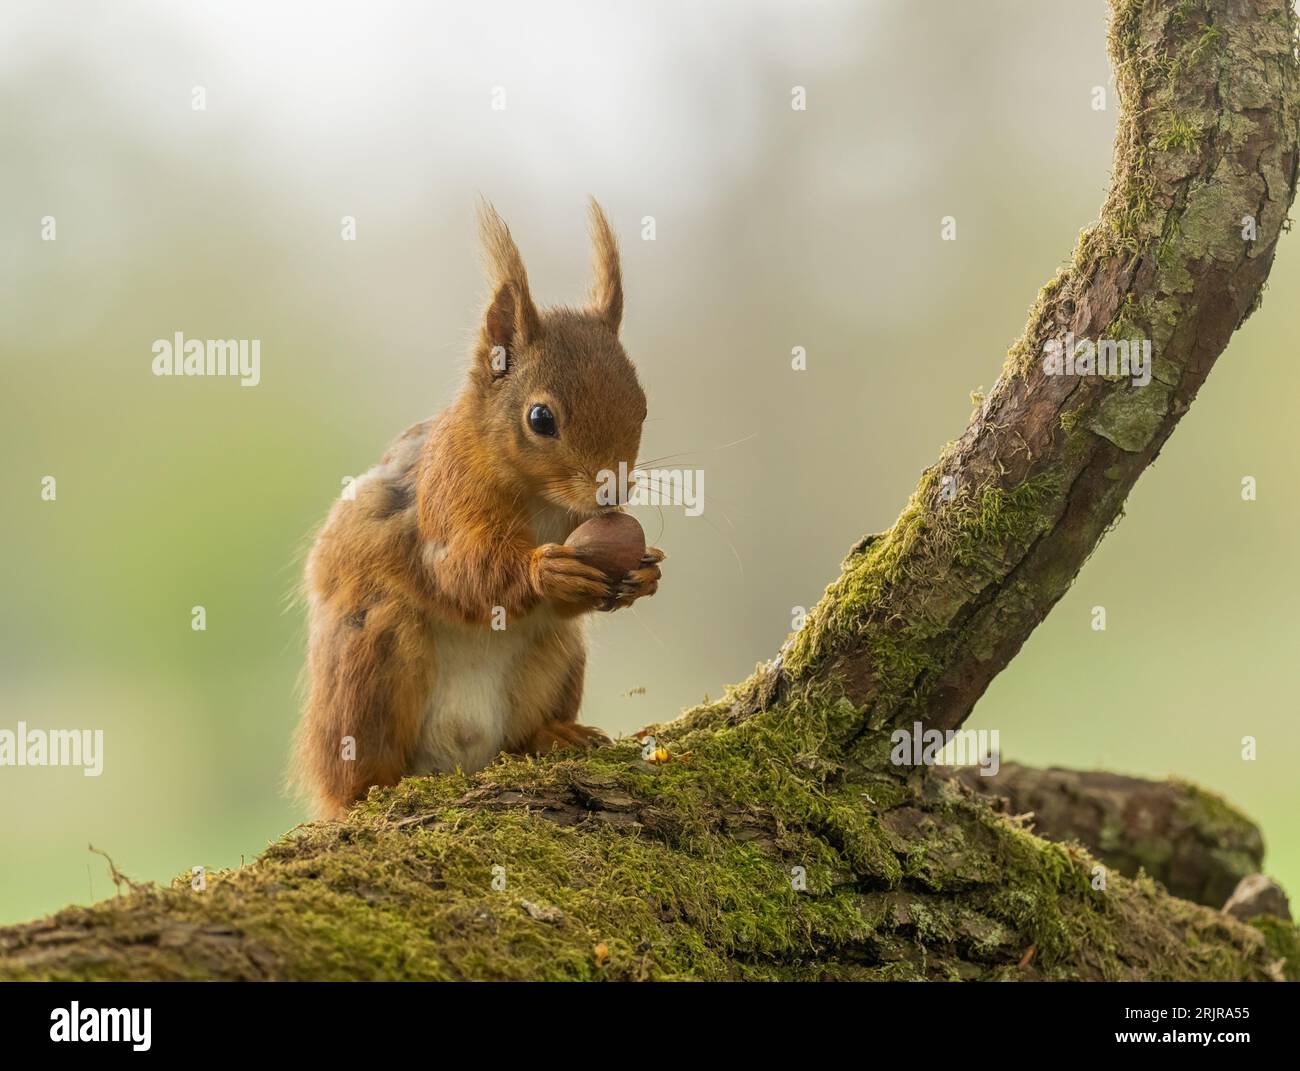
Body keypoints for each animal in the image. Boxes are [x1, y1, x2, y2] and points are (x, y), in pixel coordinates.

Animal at [291, 202, 665, 821]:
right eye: (541, 418)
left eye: (643, 405)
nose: (611, 494)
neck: (543, 499)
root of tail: (459, 753)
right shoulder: (446, 495)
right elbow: (458, 569)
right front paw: (545, 571)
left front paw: (647, 572)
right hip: (372, 661)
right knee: (359, 774)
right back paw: (375, 789)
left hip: (556, 655)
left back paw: (555, 735)